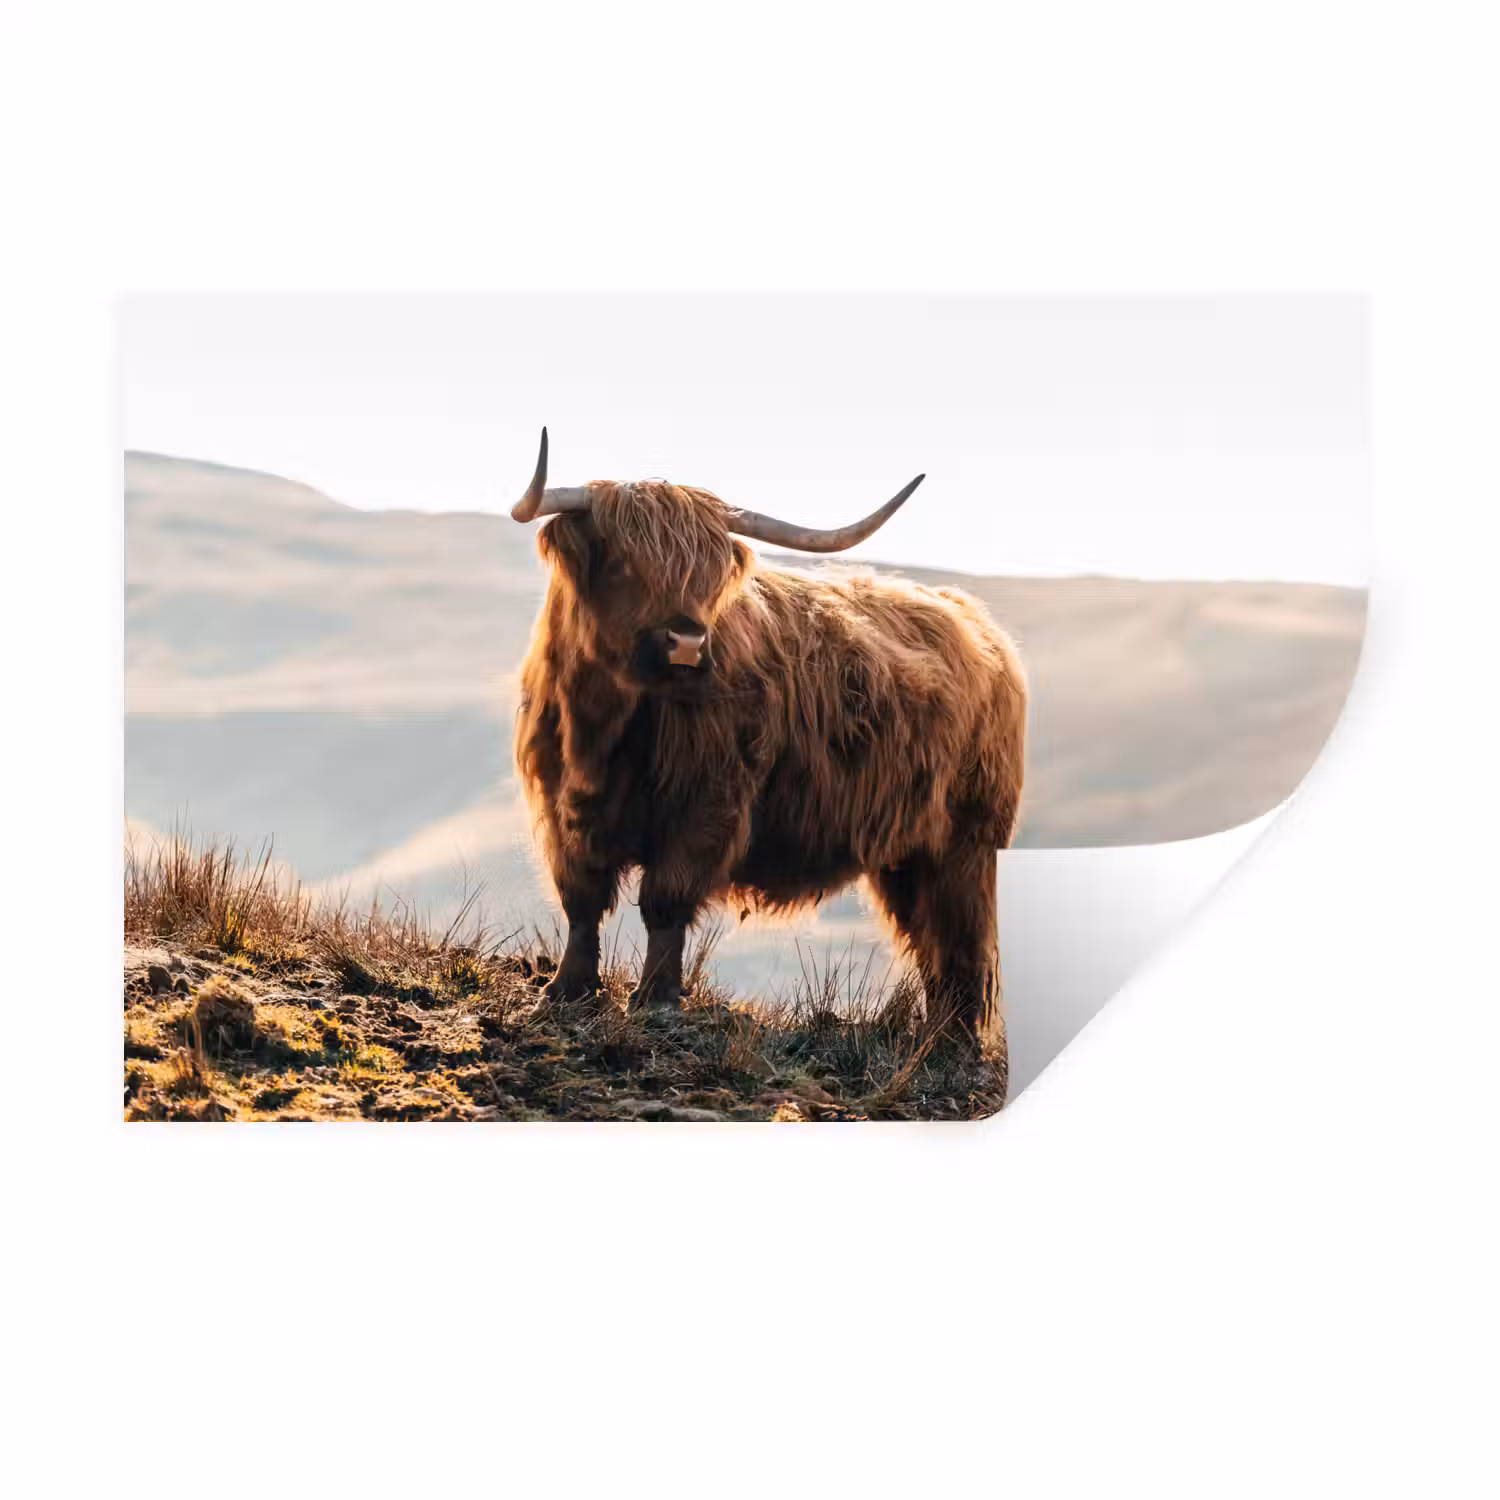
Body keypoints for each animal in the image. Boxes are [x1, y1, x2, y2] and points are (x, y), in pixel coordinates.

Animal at [511, 429, 1027, 1070]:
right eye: (622, 562)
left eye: (708, 576)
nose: (687, 643)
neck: (606, 726)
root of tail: (973, 620)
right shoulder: (561, 805)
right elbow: (581, 900)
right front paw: (566, 992)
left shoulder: (707, 805)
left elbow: (664, 901)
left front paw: (655, 1001)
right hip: (908, 854)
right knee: (929, 939)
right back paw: (934, 1039)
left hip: (966, 844)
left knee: (960, 941)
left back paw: (952, 1047)